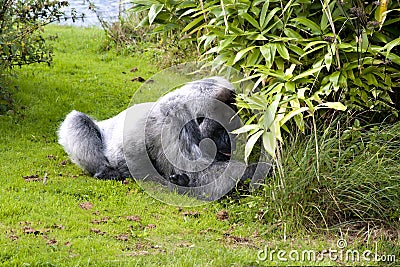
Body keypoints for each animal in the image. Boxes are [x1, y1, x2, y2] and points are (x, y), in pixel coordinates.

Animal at [57, 76, 268, 200]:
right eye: (222, 130)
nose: (229, 144)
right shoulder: (176, 118)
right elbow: (204, 175)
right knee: (77, 121)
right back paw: (105, 171)